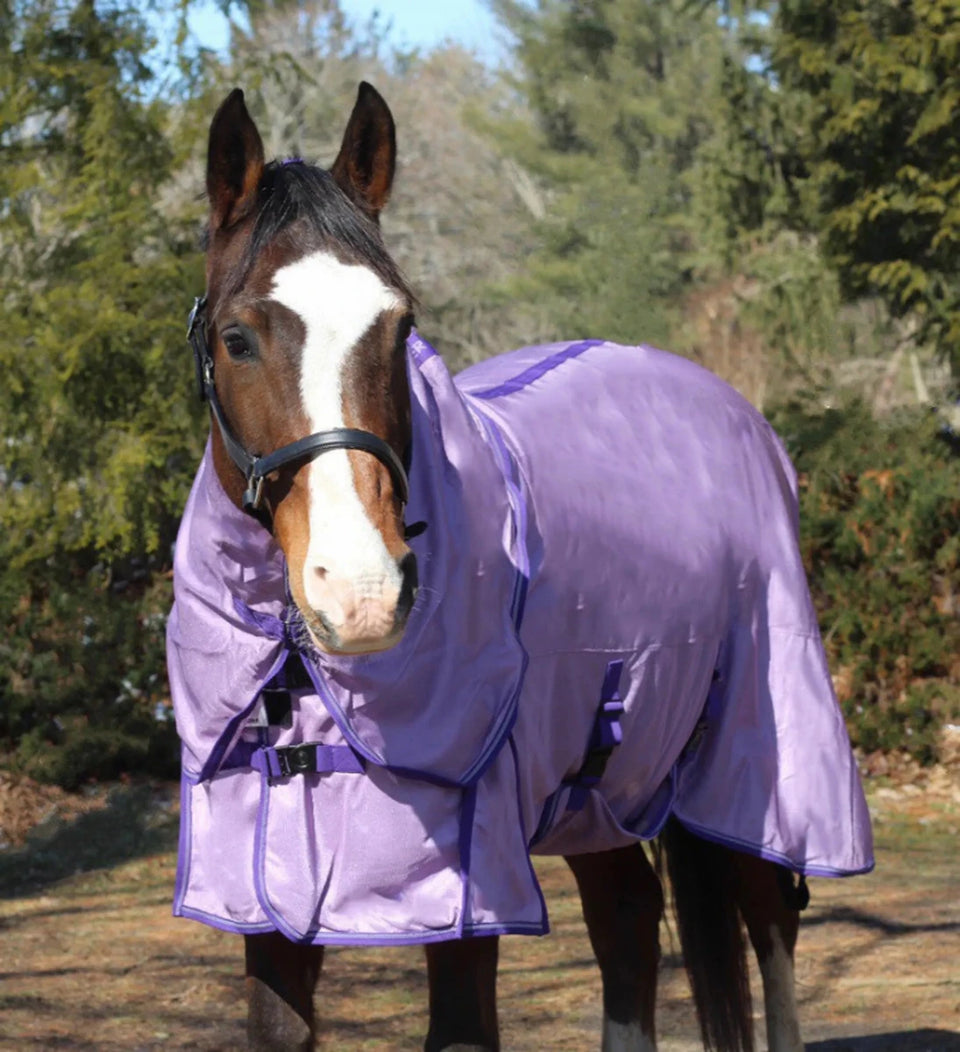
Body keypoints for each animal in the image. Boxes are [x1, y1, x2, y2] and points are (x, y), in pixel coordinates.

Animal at [167, 83, 874, 1052]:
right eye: (238, 338)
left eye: (401, 326)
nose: (362, 591)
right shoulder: (258, 900)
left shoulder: (469, 890)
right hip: (603, 790)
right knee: (628, 924)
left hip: (756, 761)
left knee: (769, 925)